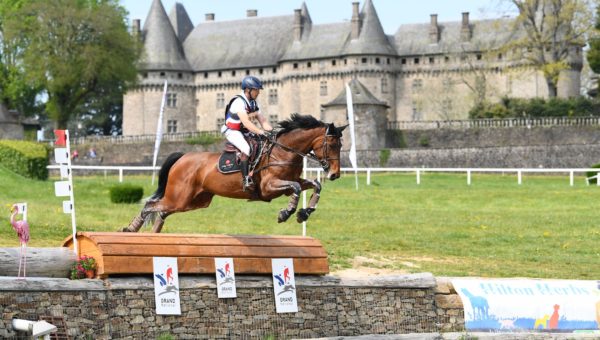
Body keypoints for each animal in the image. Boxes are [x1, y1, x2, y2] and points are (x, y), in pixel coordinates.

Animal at [122, 113, 346, 232]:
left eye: (341, 145)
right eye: (332, 144)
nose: (335, 174)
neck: (284, 150)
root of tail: (183, 157)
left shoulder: (287, 183)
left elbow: (314, 185)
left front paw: (304, 213)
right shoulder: (269, 187)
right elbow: (297, 187)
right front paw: (286, 213)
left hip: (193, 201)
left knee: (161, 211)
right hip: (179, 197)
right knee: (151, 205)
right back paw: (131, 229)